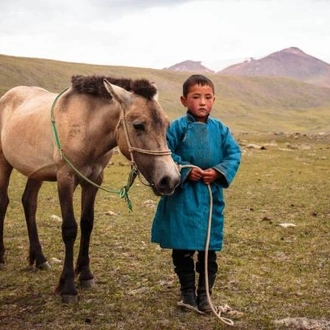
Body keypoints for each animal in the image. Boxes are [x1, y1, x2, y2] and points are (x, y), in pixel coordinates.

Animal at [0, 75, 180, 302]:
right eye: (138, 125)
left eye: (166, 124)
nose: (170, 179)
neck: (86, 128)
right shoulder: (65, 179)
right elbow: (69, 229)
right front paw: (68, 286)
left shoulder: (94, 180)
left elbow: (87, 223)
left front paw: (85, 274)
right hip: (4, 163)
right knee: (3, 202)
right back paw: (1, 255)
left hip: (36, 171)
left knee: (29, 203)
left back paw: (39, 258)